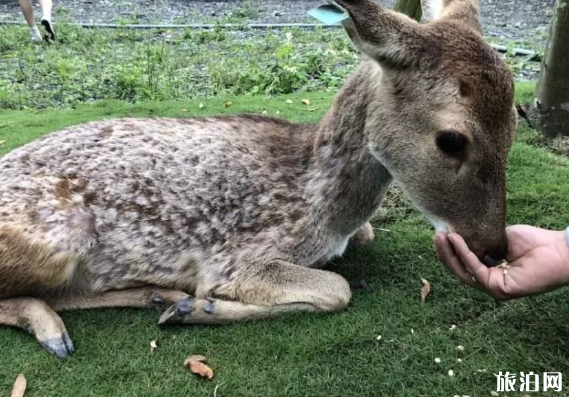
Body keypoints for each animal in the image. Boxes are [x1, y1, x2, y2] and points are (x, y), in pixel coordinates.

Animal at [0, 0, 516, 358]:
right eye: (452, 140)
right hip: (60, 233)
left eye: (517, 120)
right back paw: (57, 330)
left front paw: (189, 307)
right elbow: (337, 289)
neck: (323, 205)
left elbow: (365, 240)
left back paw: (158, 296)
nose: (494, 248)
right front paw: (201, 305)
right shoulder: (238, 256)